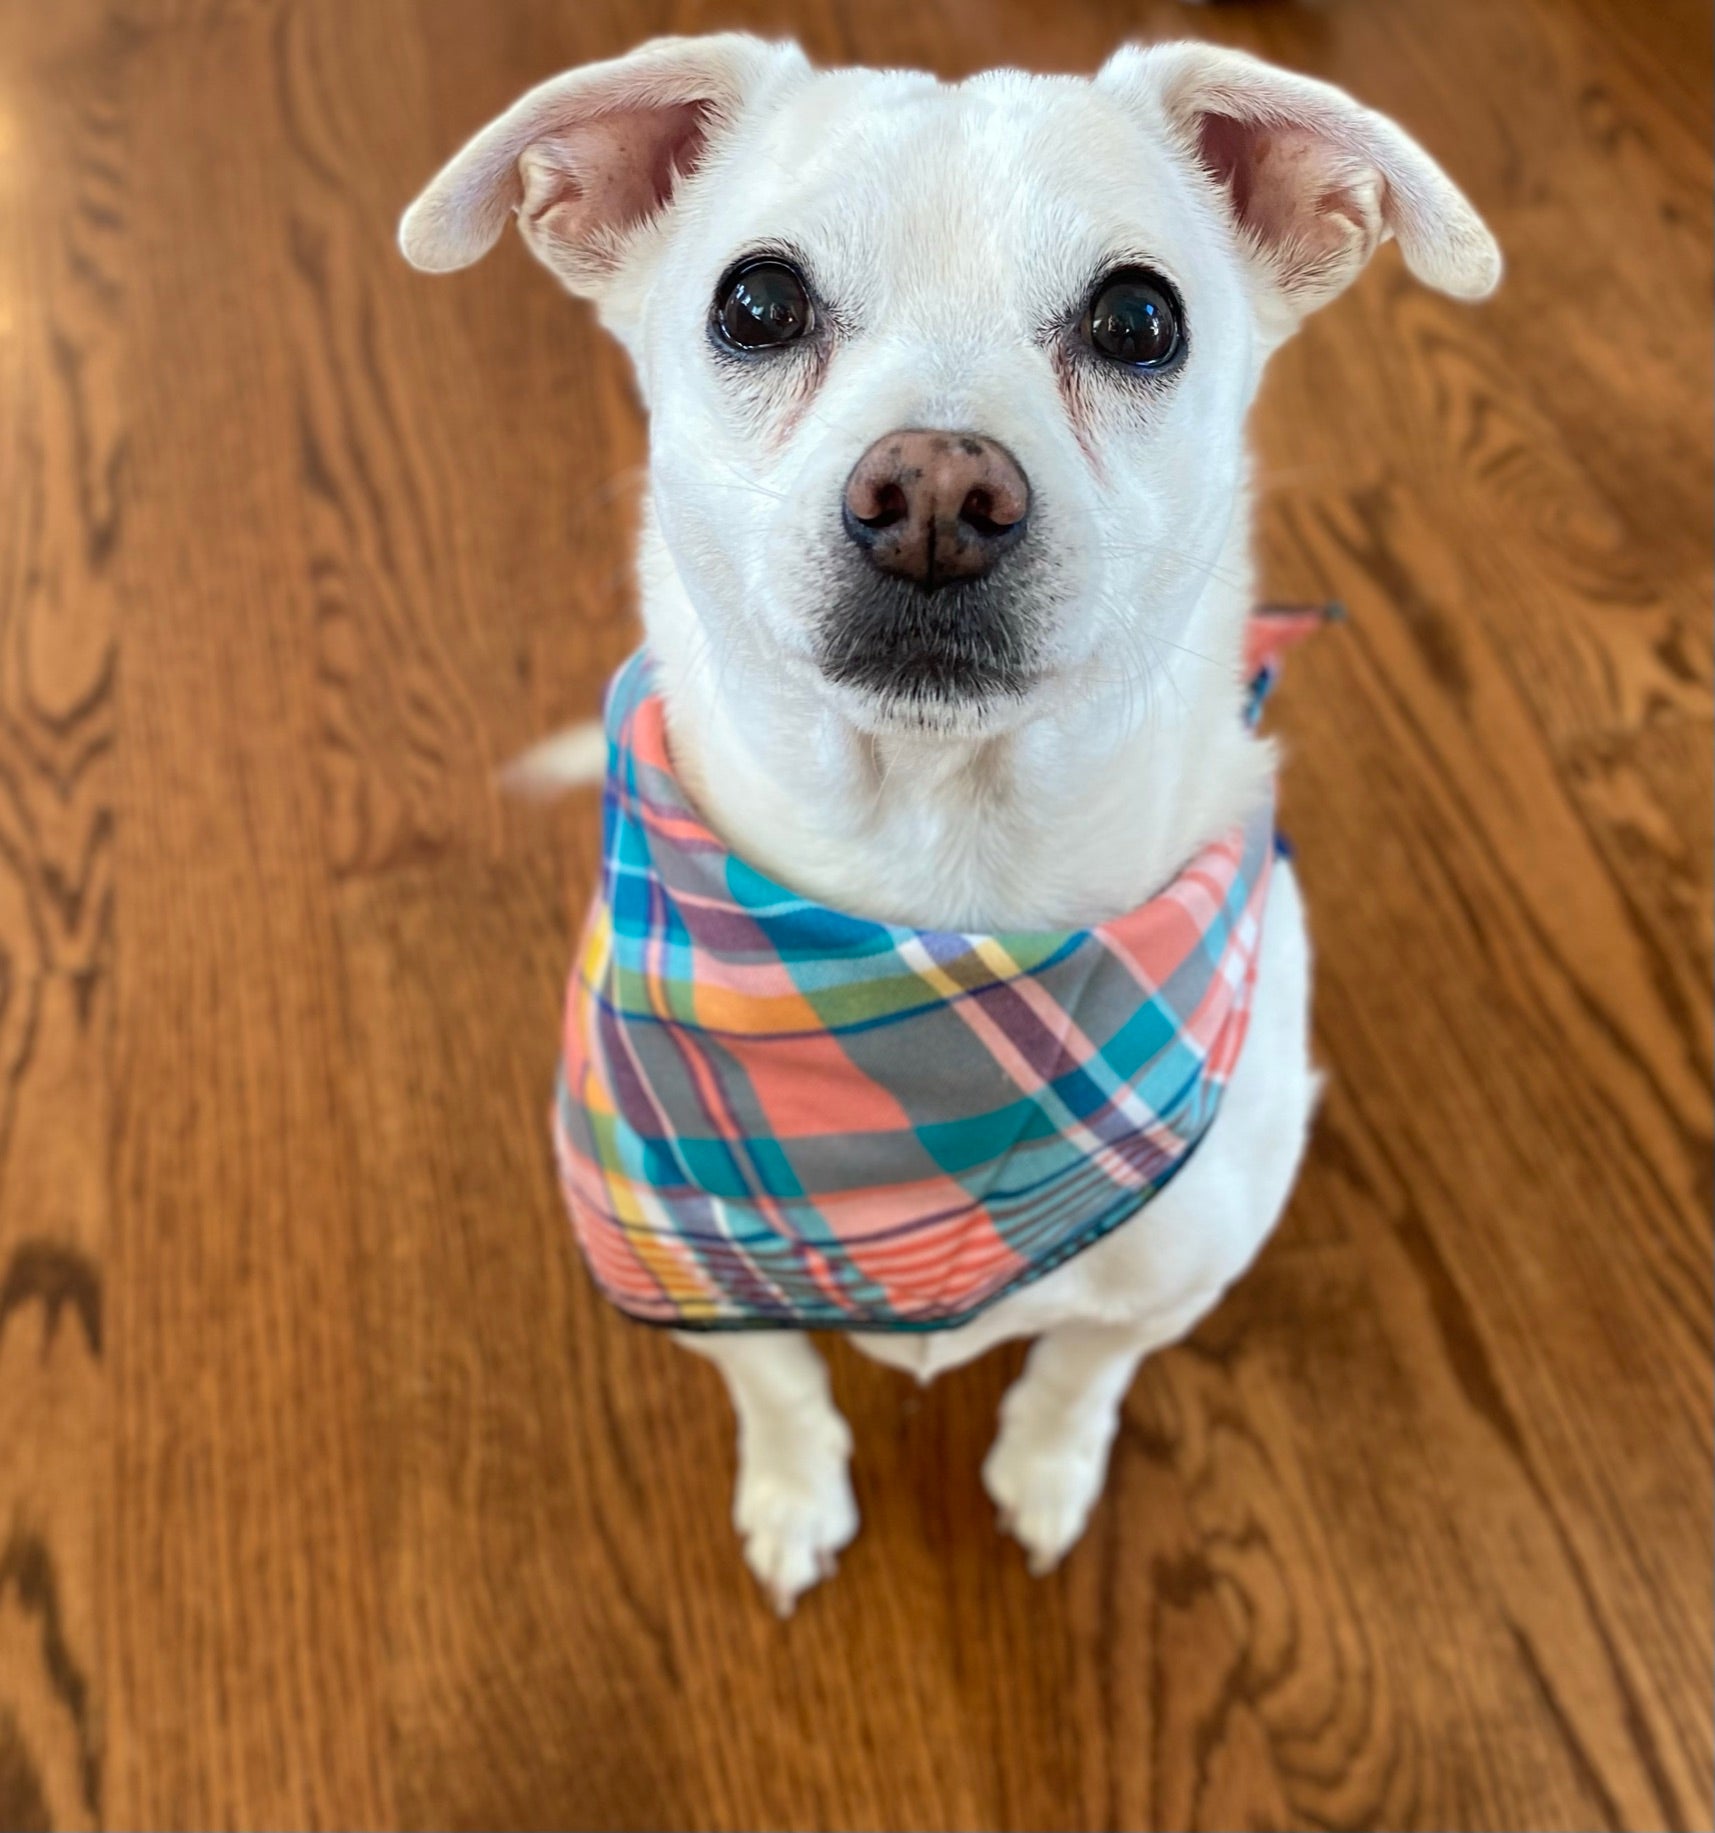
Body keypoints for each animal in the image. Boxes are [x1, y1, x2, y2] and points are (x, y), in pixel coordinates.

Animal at [399, 35, 1487, 1620]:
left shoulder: (1166, 1286)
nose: (931, 493)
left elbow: (1079, 1370)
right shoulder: (691, 1273)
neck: (928, 892)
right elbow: (777, 1383)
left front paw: (1042, 1468)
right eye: (756, 303)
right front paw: (795, 1493)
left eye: (1137, 318)